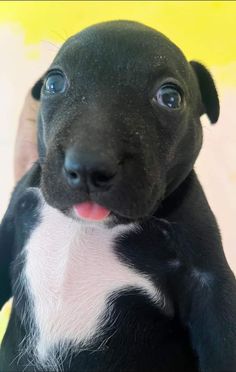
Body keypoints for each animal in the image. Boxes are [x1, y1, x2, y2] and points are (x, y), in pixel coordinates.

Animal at [0, 21, 236, 372]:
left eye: (170, 98)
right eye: (54, 83)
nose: (88, 164)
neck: (89, 227)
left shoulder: (208, 280)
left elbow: (223, 334)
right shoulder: (15, 215)